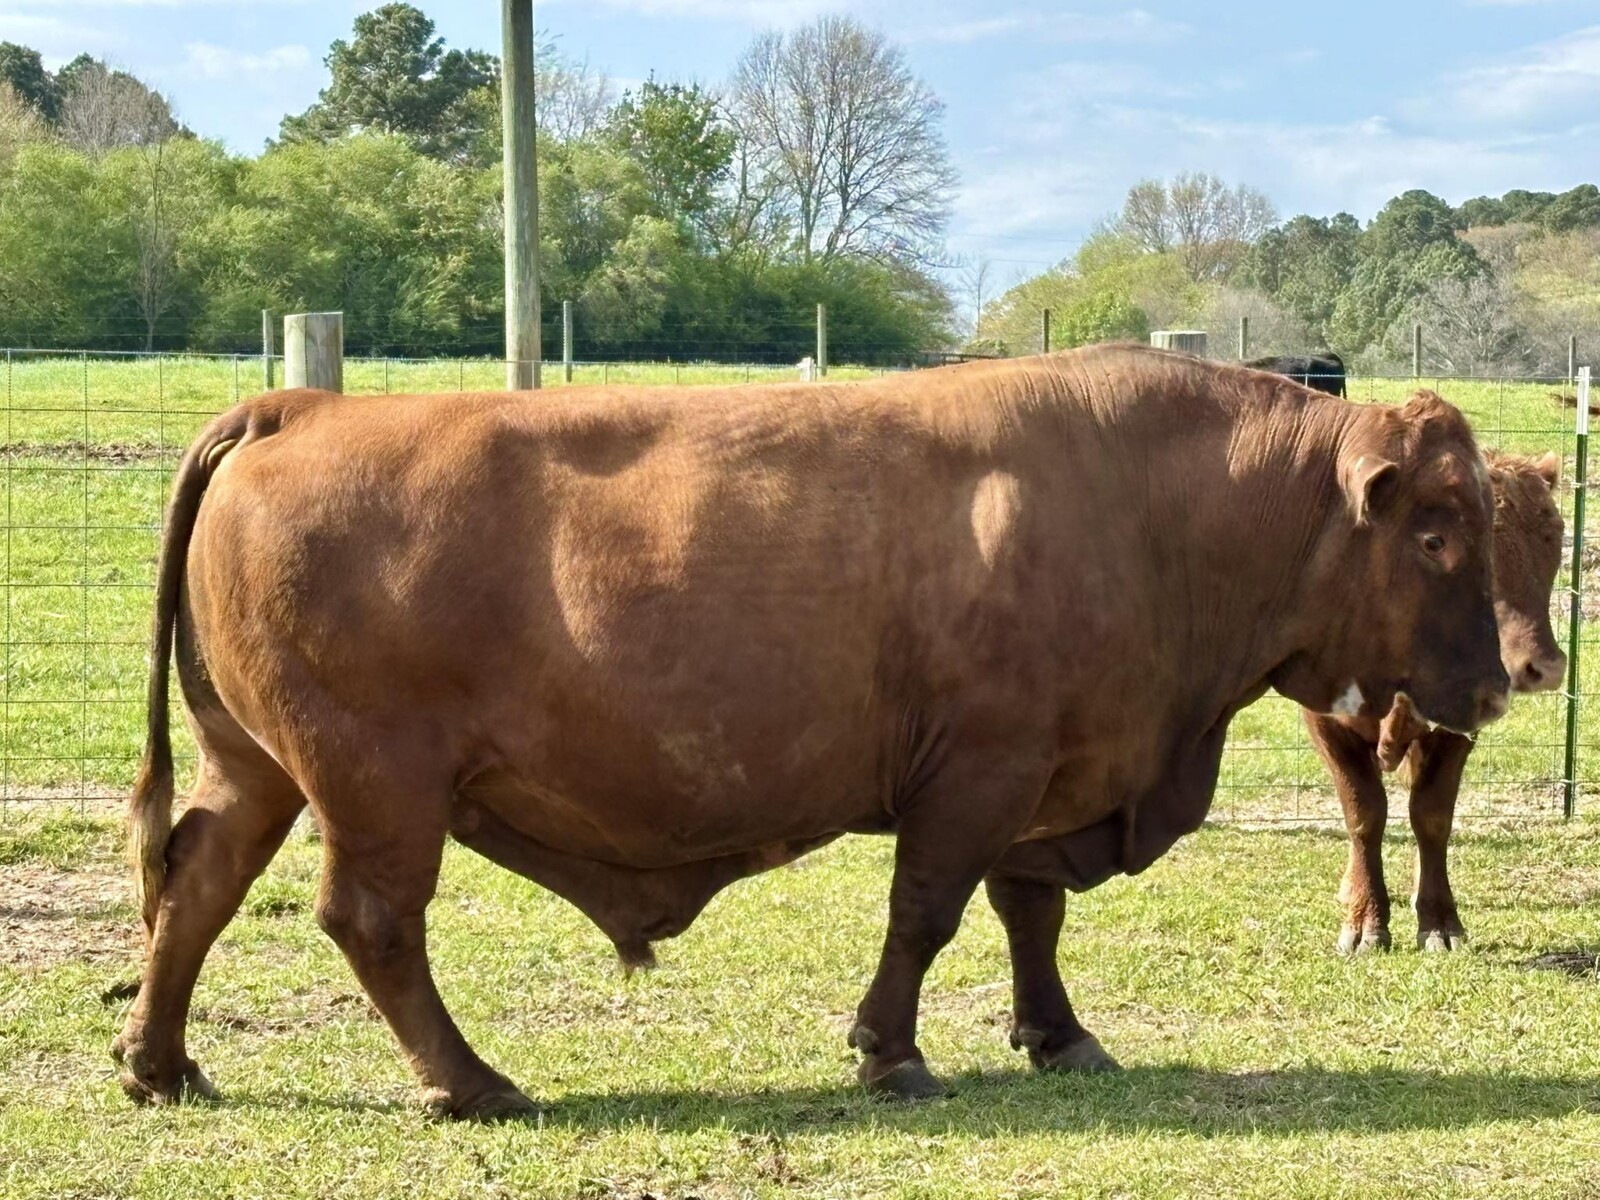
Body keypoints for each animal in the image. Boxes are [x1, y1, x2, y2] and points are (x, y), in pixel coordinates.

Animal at [111, 343, 1509, 1117]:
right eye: (1439, 531)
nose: (1499, 688)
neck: (1158, 503)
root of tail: (298, 409)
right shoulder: (979, 774)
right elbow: (927, 913)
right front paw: (890, 1054)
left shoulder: (1046, 774)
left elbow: (1028, 914)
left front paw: (1058, 1036)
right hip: (377, 786)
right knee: (372, 922)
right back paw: (472, 1085)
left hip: (259, 769)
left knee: (196, 881)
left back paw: (161, 1065)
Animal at [1305, 448, 1565, 954]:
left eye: (1555, 536)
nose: (1544, 666)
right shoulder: (1324, 721)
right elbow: (1363, 813)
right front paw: (1364, 923)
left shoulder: (1459, 727)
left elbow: (1431, 815)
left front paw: (1440, 922)